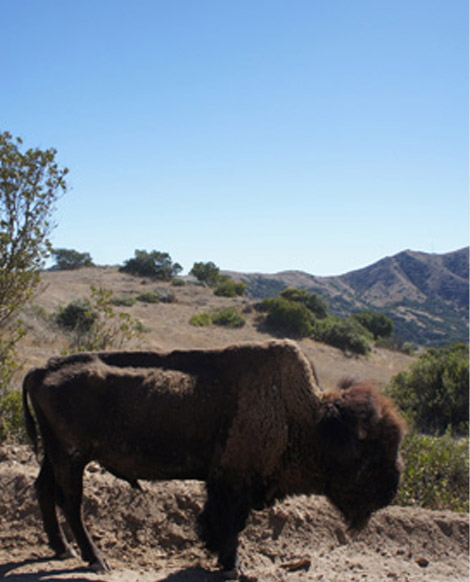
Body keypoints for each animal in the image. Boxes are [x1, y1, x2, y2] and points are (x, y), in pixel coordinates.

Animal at [21, 340, 404, 576]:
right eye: (370, 450)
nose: (391, 490)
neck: (304, 418)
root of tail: (41, 371)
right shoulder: (233, 482)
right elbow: (230, 524)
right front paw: (231, 565)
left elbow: (230, 523)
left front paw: (223, 559)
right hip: (71, 457)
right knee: (72, 502)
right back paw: (96, 560)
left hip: (56, 456)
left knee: (44, 490)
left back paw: (63, 549)